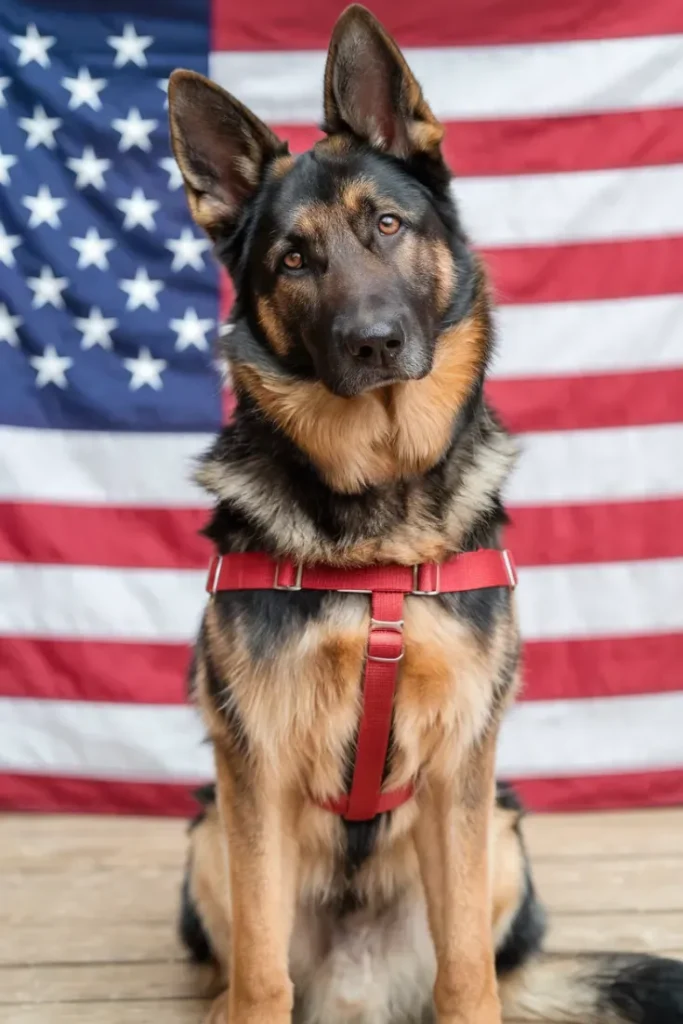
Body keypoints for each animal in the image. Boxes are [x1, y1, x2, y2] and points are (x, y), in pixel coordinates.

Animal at [165, 8, 683, 1024]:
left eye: (388, 224)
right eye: (293, 258)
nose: (374, 343)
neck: (378, 508)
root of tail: (357, 986)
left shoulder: (460, 769)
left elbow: (465, 971)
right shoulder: (254, 766)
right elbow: (259, 969)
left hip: (506, 830)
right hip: (210, 830)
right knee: (245, 965)